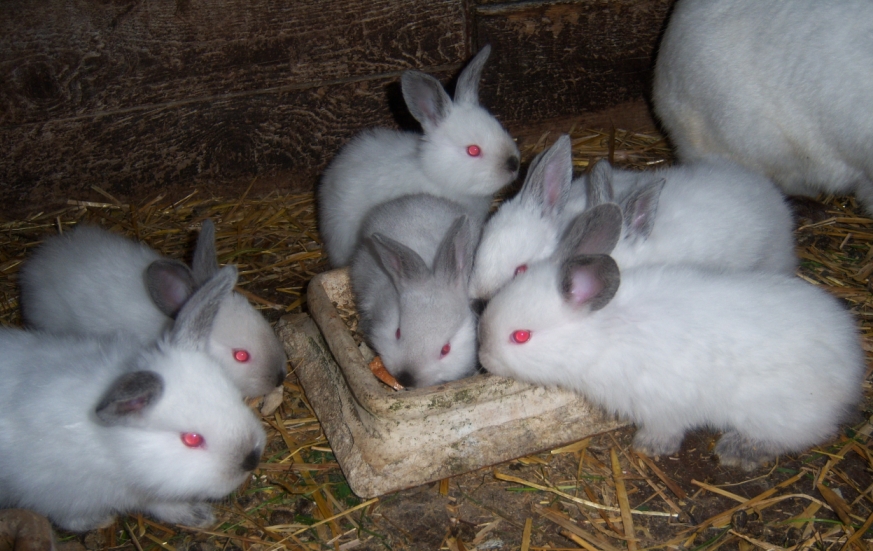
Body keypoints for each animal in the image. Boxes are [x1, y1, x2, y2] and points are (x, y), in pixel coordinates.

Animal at [0, 266, 267, 531]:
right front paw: (102, 520)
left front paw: (198, 515)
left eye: (235, 397)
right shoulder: (59, 497)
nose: (251, 459)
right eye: (191, 439)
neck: (116, 449)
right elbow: (74, 520)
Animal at [478, 203, 864, 470]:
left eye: (521, 336)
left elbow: (667, 429)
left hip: (779, 414)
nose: (483, 358)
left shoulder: (664, 405)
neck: (605, 332)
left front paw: (648, 446)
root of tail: (853, 364)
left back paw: (736, 450)